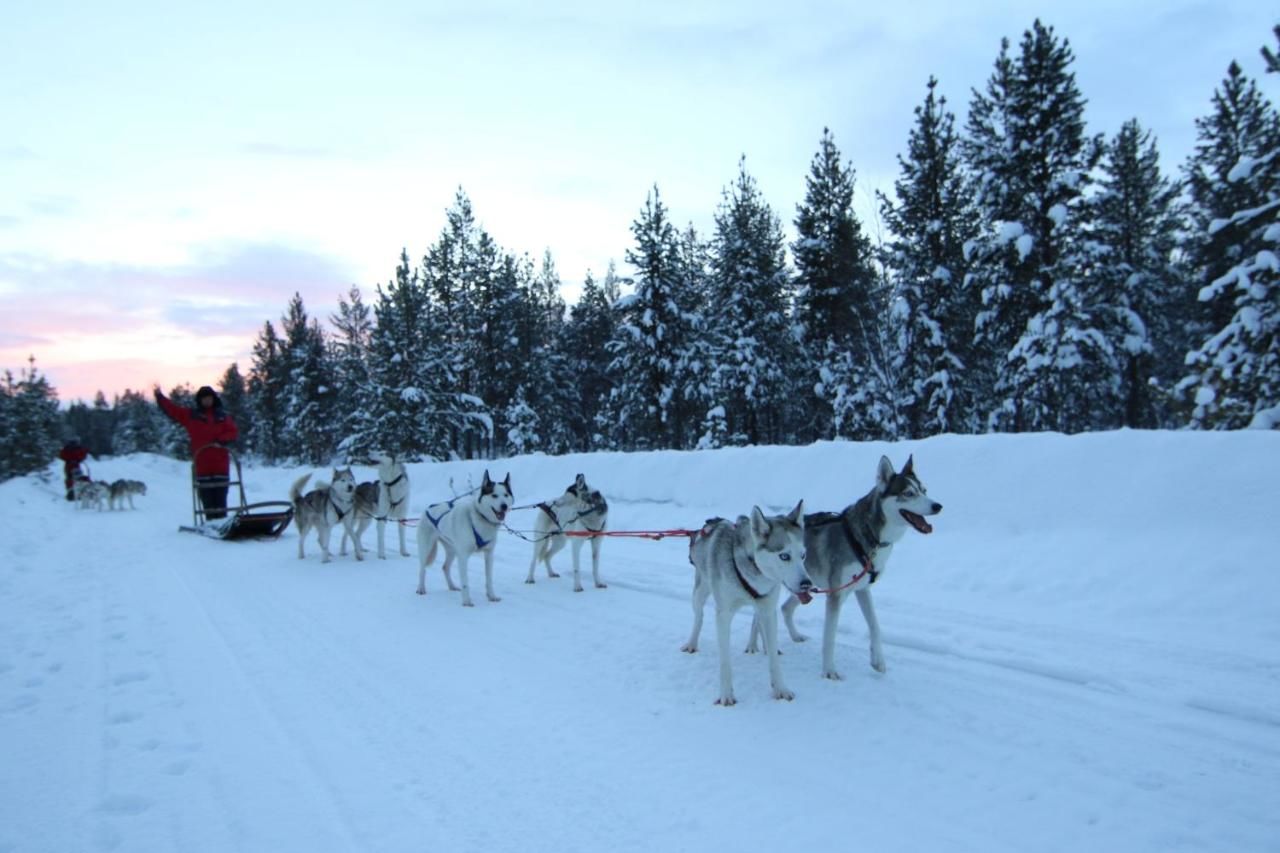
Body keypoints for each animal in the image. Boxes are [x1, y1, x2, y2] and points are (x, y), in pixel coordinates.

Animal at [417, 471, 512, 604]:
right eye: (494, 495)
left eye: (506, 495)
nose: (504, 506)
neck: (479, 518)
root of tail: (429, 507)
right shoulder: (463, 556)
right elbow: (465, 582)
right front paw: (467, 601)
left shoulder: (489, 554)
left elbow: (489, 579)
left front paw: (491, 596)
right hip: (426, 548)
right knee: (422, 569)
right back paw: (421, 588)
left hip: (452, 550)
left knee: (445, 567)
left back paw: (452, 586)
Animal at [680, 499, 808, 701]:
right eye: (784, 556)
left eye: (803, 555)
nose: (807, 584)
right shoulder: (723, 615)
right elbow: (725, 662)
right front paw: (726, 695)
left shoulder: (768, 610)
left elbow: (774, 657)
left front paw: (780, 688)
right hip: (700, 593)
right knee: (699, 617)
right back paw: (692, 643)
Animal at [747, 450, 942, 676]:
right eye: (909, 493)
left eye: (924, 490)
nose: (938, 506)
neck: (866, 536)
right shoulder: (836, 594)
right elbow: (829, 638)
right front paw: (829, 671)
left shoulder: (862, 588)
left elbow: (875, 626)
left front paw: (878, 660)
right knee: (761, 615)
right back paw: (753, 646)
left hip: (801, 584)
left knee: (782, 609)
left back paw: (788, 638)